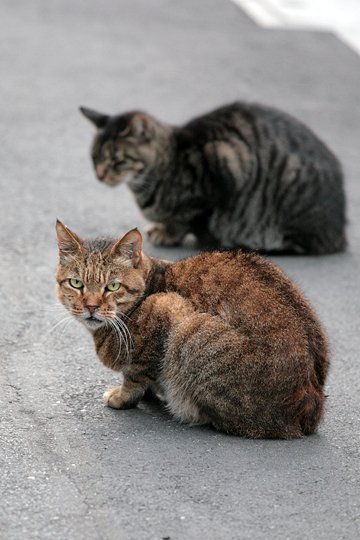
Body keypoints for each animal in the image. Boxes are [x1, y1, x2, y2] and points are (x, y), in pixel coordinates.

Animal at [55, 219, 330, 438]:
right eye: (76, 283)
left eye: (112, 286)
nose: (91, 306)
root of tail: (312, 403)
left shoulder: (166, 307)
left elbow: (136, 374)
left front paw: (124, 396)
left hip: (192, 331)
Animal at [79, 103, 346, 255]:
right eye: (94, 158)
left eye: (117, 161)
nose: (100, 175)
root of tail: (340, 229)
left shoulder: (225, 166)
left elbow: (186, 219)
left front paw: (169, 233)